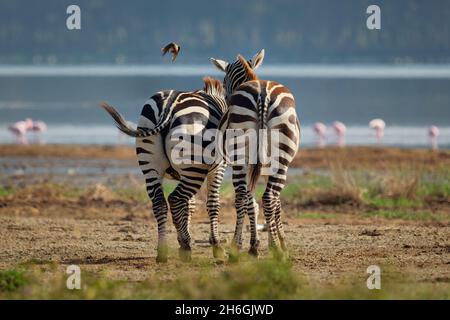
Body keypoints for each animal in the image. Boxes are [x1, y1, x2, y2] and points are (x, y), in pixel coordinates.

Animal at [102, 77, 229, 262]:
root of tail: (168, 105)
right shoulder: (218, 168)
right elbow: (212, 203)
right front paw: (216, 246)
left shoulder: (182, 175)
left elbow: (189, 206)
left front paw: (182, 237)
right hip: (194, 169)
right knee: (175, 199)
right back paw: (185, 247)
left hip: (151, 165)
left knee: (160, 202)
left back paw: (163, 251)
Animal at [212, 50, 302, 258]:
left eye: (224, 81)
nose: (226, 102)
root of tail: (263, 94)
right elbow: (271, 203)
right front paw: (275, 242)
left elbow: (254, 202)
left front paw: (259, 243)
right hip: (276, 159)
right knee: (264, 198)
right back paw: (275, 250)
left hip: (245, 157)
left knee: (244, 197)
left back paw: (238, 248)